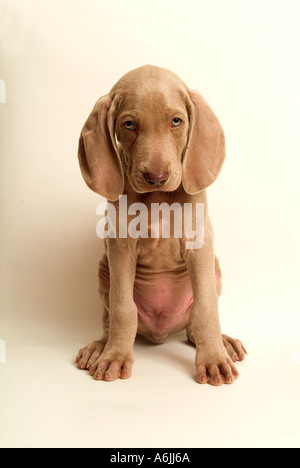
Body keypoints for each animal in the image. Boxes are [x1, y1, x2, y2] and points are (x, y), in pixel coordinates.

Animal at [75, 66, 246, 388]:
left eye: (176, 121)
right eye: (129, 125)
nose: (156, 177)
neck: (157, 200)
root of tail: (161, 332)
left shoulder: (199, 246)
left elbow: (206, 309)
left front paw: (213, 359)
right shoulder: (120, 248)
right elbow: (122, 309)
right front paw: (115, 356)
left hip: (214, 269)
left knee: (193, 326)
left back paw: (223, 342)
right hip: (103, 270)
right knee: (110, 317)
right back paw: (100, 347)